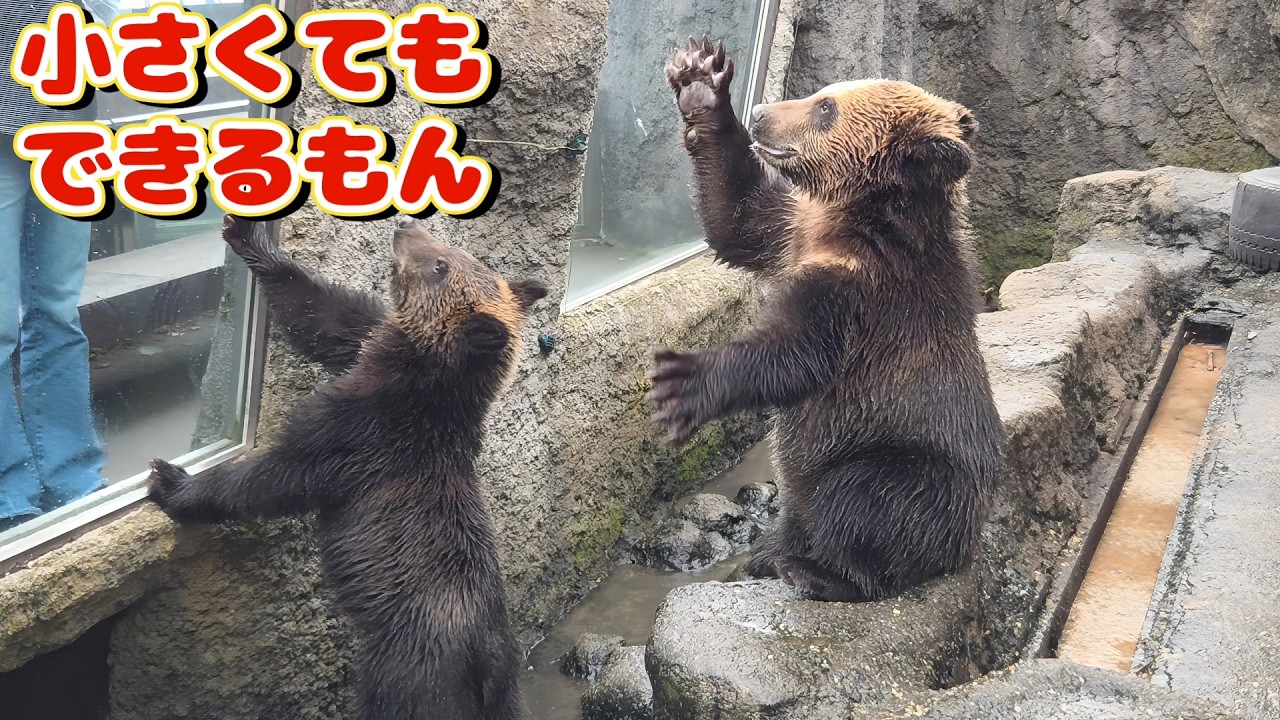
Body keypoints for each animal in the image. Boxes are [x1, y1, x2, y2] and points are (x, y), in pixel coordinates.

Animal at [147, 215, 549, 720]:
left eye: (441, 266)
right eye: (453, 253)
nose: (405, 224)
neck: (419, 384)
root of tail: (487, 670)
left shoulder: (355, 438)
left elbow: (271, 478)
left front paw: (172, 482)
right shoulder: (363, 342)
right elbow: (322, 314)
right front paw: (247, 233)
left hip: (413, 673)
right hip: (503, 691)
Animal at [648, 36, 1006, 603]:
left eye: (825, 108)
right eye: (824, 93)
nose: (762, 113)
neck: (853, 218)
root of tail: (966, 543)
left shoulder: (869, 292)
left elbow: (800, 354)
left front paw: (684, 381)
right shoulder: (790, 227)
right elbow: (735, 215)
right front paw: (701, 80)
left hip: (908, 461)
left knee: (864, 502)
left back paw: (814, 570)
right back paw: (773, 551)